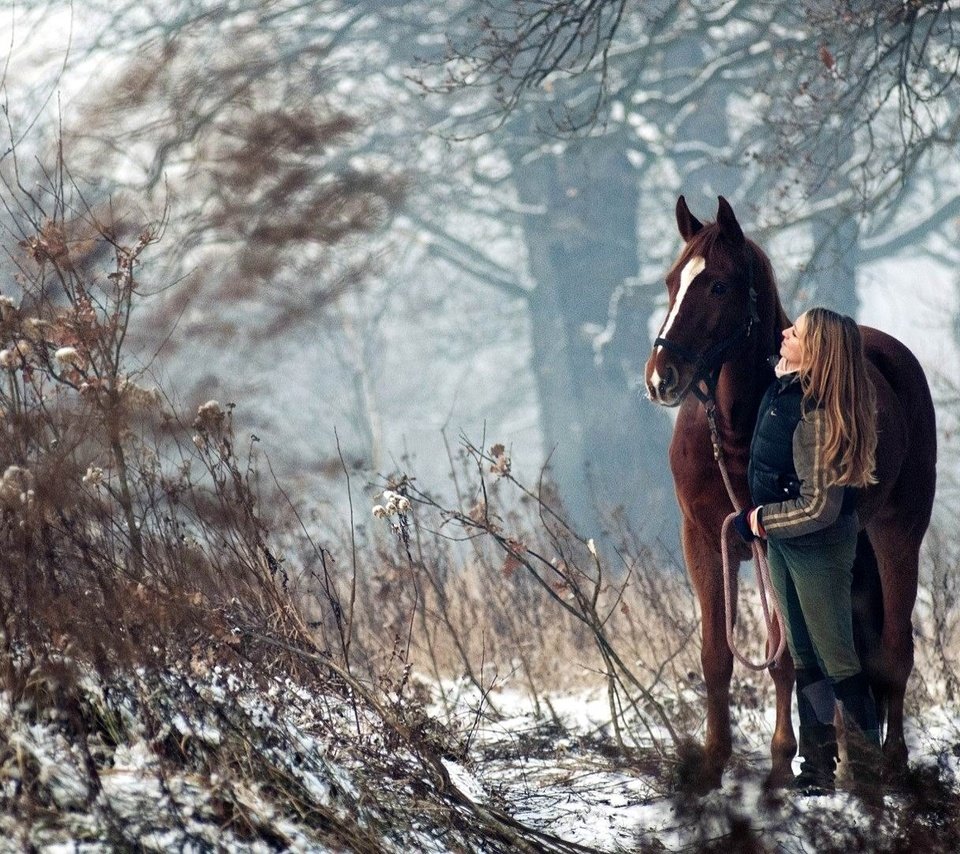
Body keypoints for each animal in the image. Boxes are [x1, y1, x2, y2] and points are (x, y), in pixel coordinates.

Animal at [644, 196, 936, 788]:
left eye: (717, 286)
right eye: (670, 282)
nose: (661, 378)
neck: (739, 429)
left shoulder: (770, 541)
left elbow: (782, 660)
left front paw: (781, 763)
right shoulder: (704, 541)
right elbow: (716, 654)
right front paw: (712, 764)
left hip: (898, 535)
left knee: (894, 651)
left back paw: (889, 766)